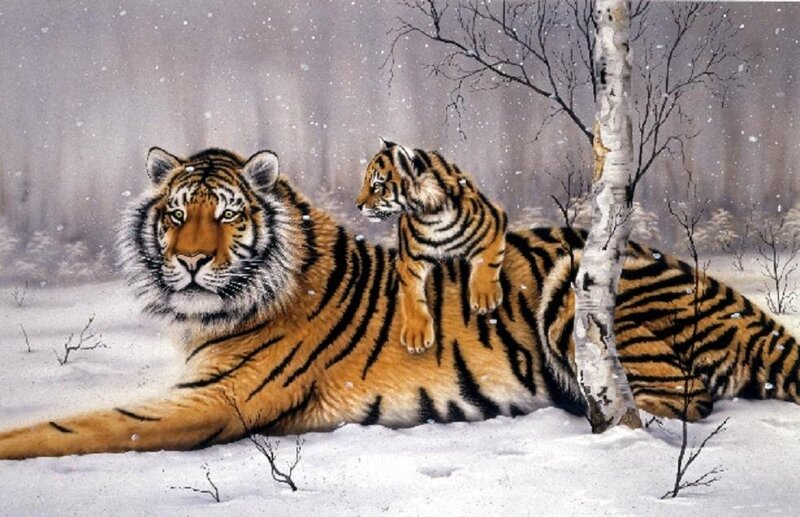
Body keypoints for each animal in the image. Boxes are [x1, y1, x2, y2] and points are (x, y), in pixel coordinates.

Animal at [356, 139, 508, 355]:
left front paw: (485, 297)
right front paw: (416, 336)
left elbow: (488, 262)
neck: (432, 214)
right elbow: (411, 297)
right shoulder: (408, 261)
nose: (357, 205)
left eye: (377, 186)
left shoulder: (494, 221)